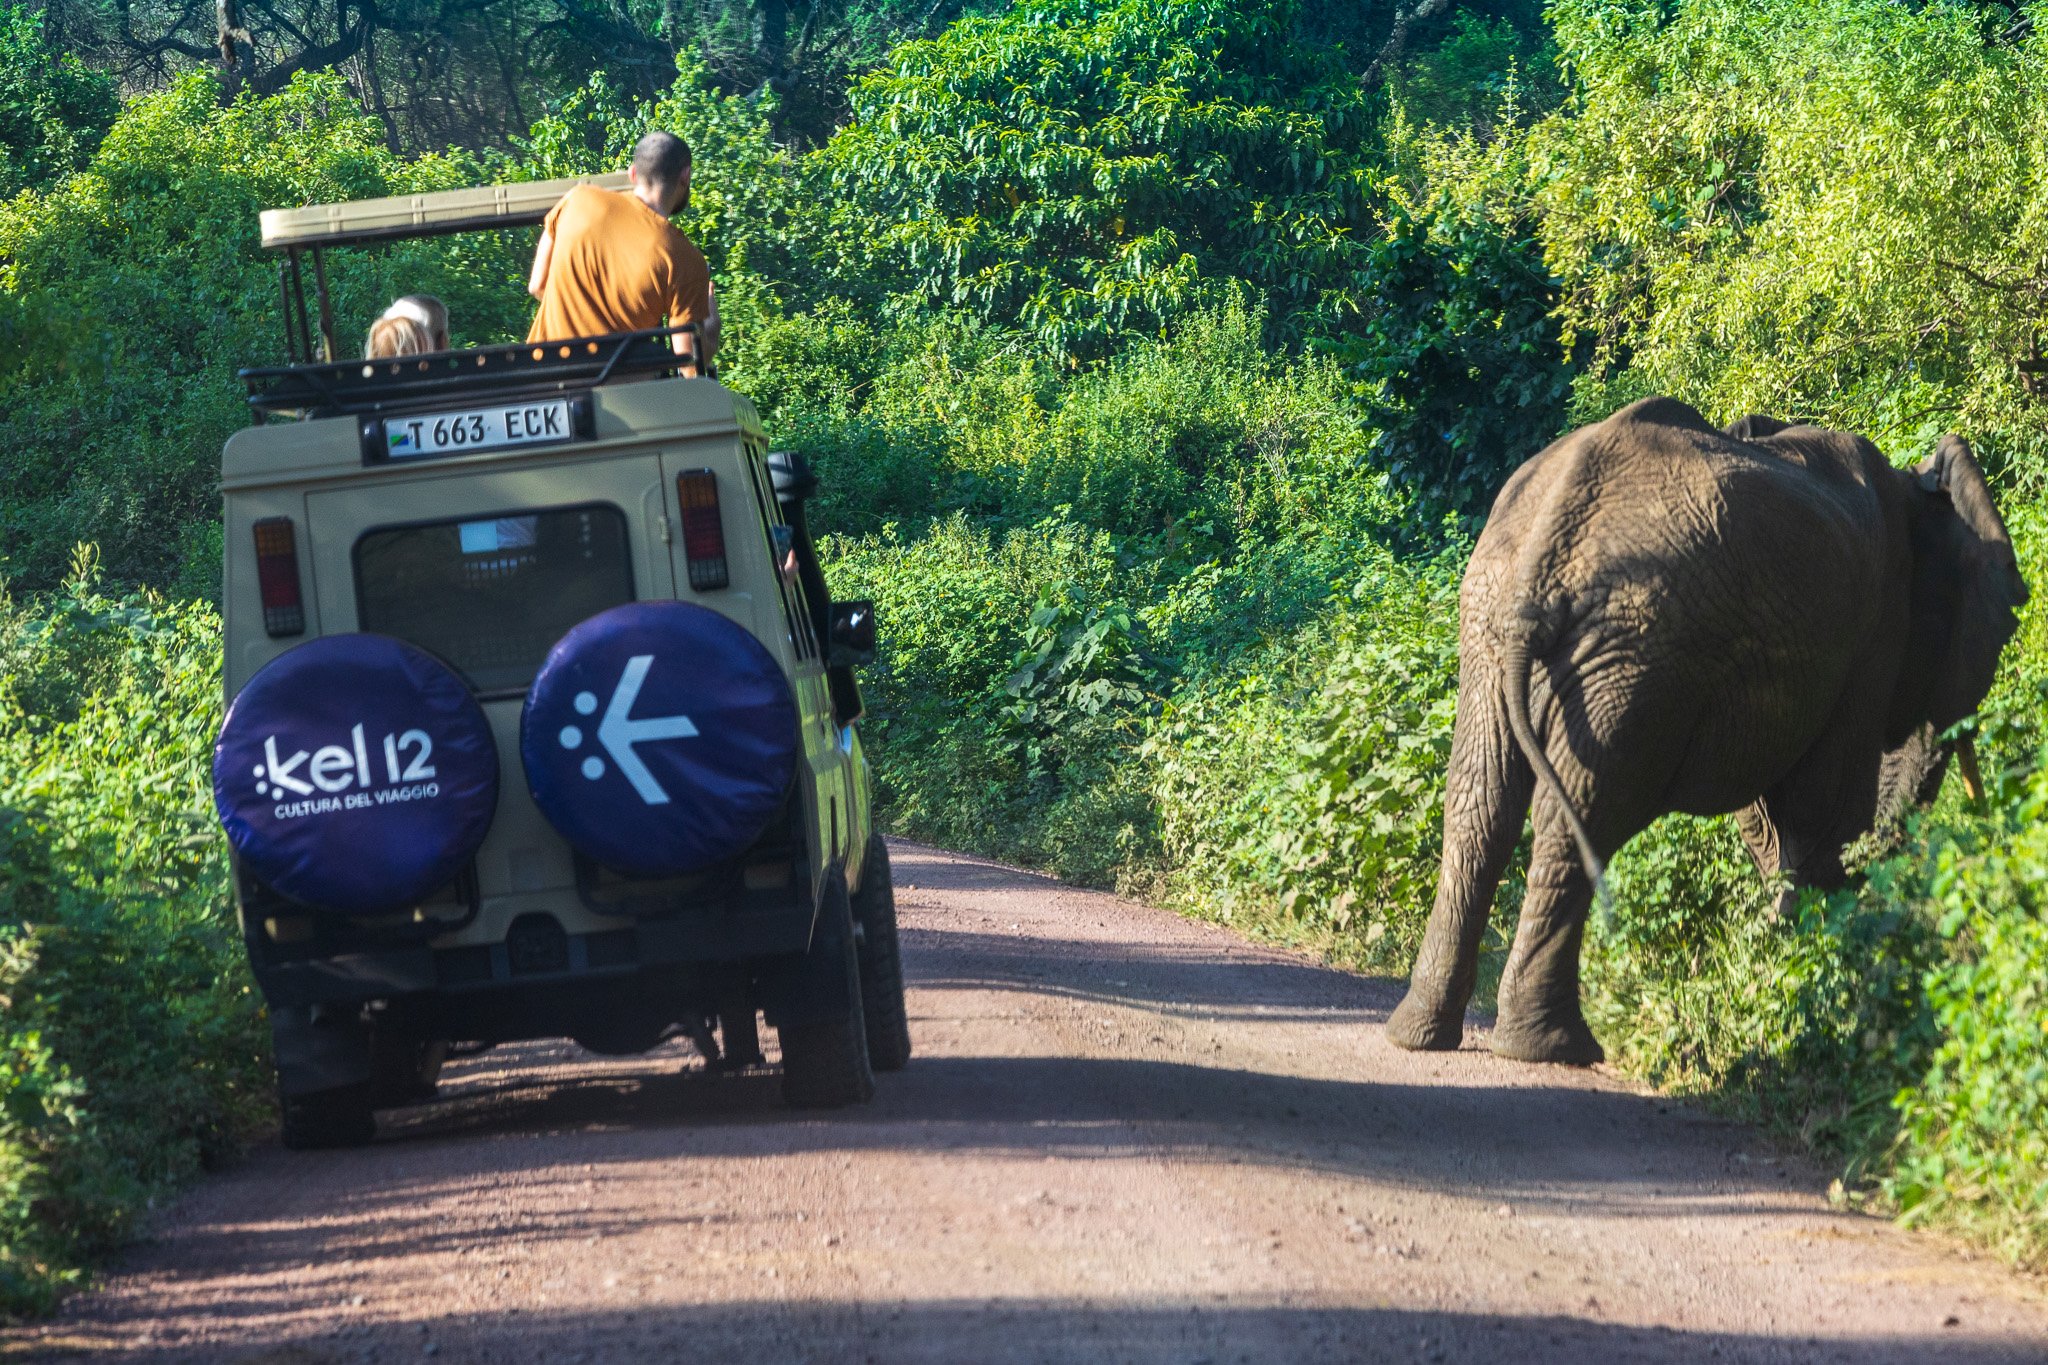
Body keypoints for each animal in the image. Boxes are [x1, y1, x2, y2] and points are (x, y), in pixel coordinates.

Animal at [1384, 394, 2023, 1064]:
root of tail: (1545, 550)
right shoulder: (1872, 631)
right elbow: (1828, 809)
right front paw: (1820, 953)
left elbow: (1770, 815)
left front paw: (1786, 950)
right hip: (1636, 649)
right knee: (1580, 814)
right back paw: (1558, 1047)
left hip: (1499, 626)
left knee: (1479, 805)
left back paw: (1423, 1034)